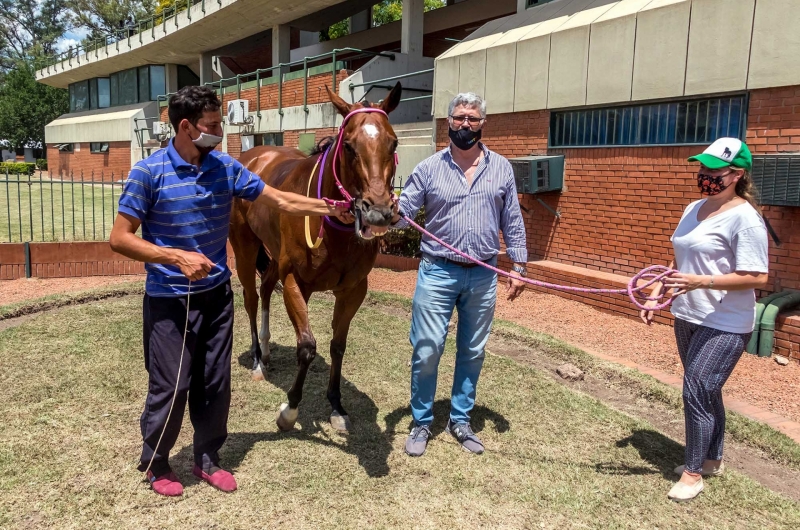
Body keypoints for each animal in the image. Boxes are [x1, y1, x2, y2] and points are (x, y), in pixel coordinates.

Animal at [228, 81, 404, 428]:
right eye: (348, 146)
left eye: (392, 143)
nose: (378, 212)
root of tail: (253, 155)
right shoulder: (295, 282)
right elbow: (307, 347)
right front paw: (290, 409)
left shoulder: (353, 290)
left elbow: (338, 345)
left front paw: (336, 404)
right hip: (244, 247)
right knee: (251, 298)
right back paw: (257, 360)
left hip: (274, 253)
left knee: (265, 288)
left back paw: (266, 349)